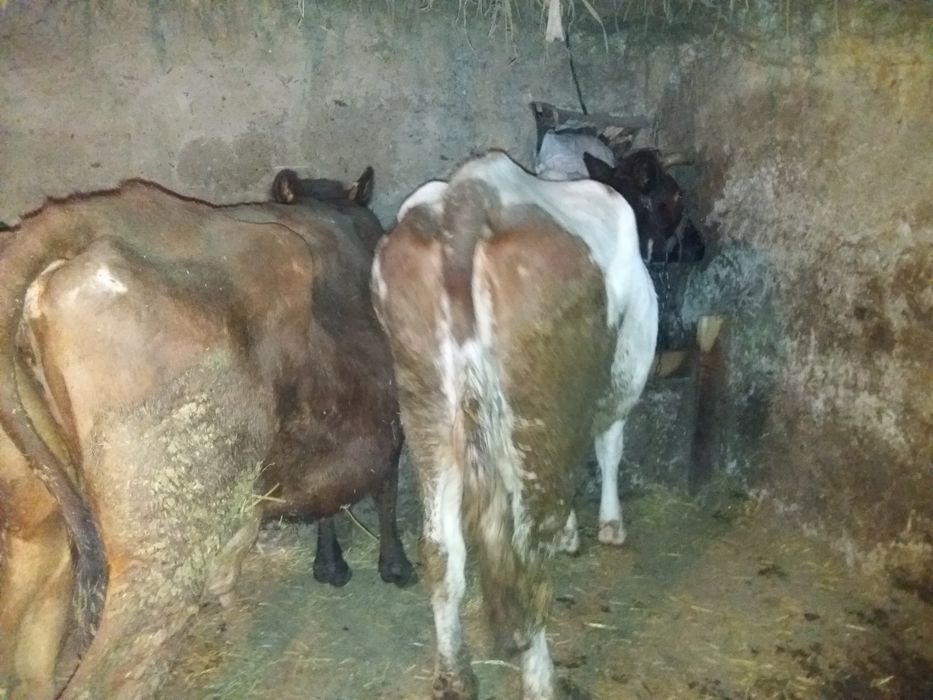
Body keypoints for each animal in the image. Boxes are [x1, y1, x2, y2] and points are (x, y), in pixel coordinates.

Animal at [372, 151, 658, 700]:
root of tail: (471, 194)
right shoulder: (619, 383)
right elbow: (609, 447)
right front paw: (608, 525)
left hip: (424, 401)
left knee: (441, 549)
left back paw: (454, 675)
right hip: (535, 413)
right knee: (527, 557)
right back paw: (541, 680)